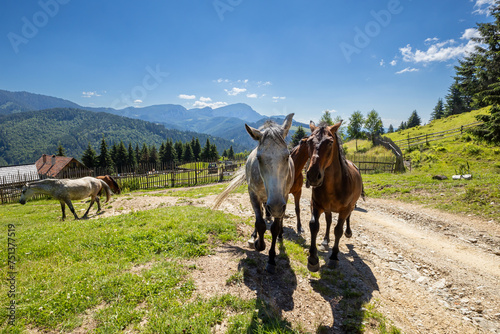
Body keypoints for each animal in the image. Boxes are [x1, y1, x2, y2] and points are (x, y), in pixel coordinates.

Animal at [304, 120, 364, 272]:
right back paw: (325, 241)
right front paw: (313, 259)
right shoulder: (316, 205)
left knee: (348, 217)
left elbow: (338, 230)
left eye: (330, 142)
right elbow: (314, 225)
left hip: (351, 206)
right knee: (329, 221)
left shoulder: (344, 209)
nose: (313, 175)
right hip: (327, 208)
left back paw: (348, 232)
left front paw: (334, 257)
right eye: (309, 141)